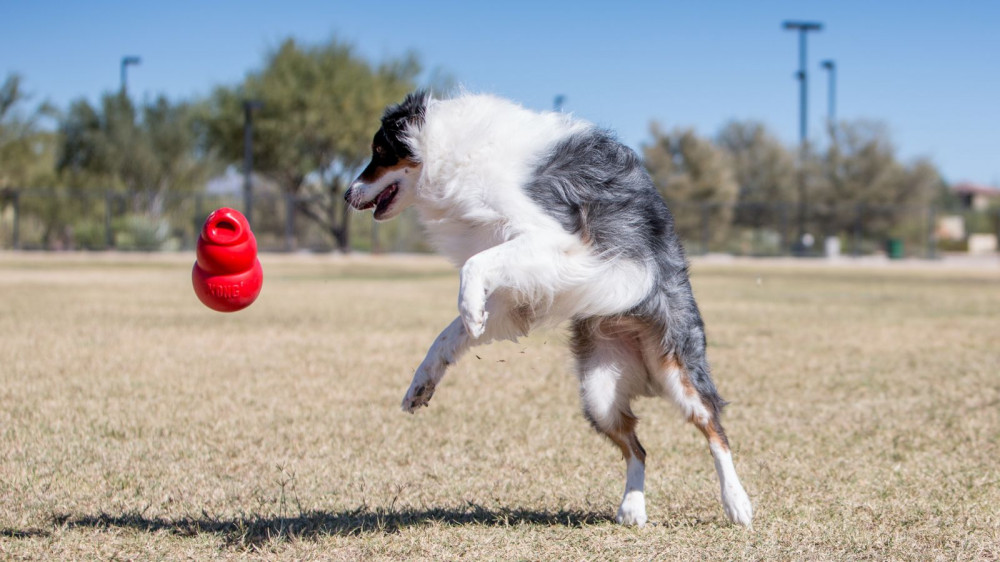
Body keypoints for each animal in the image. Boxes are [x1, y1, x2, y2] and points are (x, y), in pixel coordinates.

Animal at [344, 91, 752, 524]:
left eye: (379, 151)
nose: (346, 194)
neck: (451, 149)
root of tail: (646, 370)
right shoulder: (521, 290)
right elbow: (448, 333)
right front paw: (423, 380)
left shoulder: (555, 238)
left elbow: (474, 267)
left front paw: (470, 309)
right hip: (600, 393)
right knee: (638, 447)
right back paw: (631, 507)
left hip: (679, 369)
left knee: (714, 430)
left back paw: (737, 503)